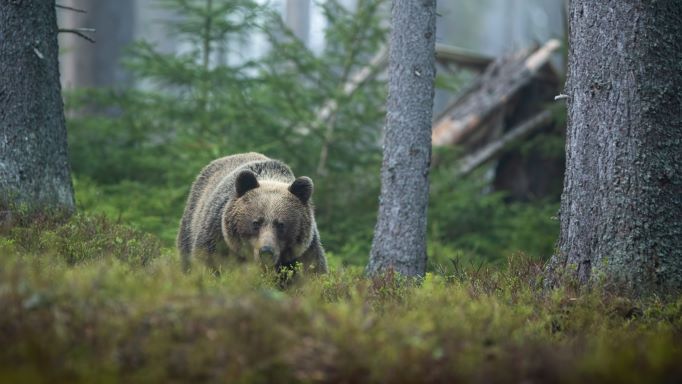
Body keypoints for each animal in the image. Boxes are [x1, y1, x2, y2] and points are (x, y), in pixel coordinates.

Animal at [174, 152, 326, 274]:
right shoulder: (218, 236)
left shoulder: (304, 250)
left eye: (281, 224)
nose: (266, 251)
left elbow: (312, 271)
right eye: (256, 223)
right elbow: (208, 263)